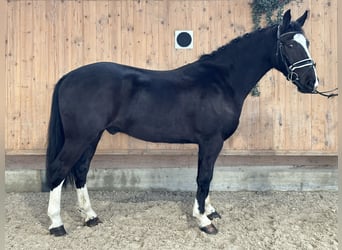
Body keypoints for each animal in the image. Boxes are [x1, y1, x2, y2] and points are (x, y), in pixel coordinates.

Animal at [45, 9, 318, 236]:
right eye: (289, 43)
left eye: (307, 43)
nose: (310, 82)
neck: (221, 81)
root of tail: (68, 77)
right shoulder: (211, 141)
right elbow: (204, 178)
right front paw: (204, 220)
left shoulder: (209, 144)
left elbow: (208, 176)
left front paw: (209, 211)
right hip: (80, 137)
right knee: (59, 169)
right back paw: (57, 224)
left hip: (93, 136)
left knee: (80, 170)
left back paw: (90, 216)